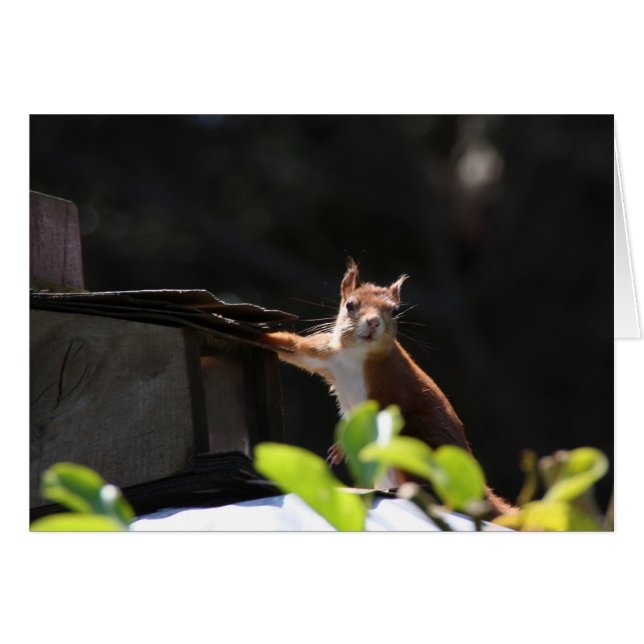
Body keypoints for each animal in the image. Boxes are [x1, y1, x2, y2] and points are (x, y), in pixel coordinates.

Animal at [259, 258, 513, 517]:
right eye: (350, 304)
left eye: (395, 311)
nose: (373, 322)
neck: (356, 355)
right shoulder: (325, 354)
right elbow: (292, 348)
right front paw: (257, 335)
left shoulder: (391, 384)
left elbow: (383, 414)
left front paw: (341, 448)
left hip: (415, 447)